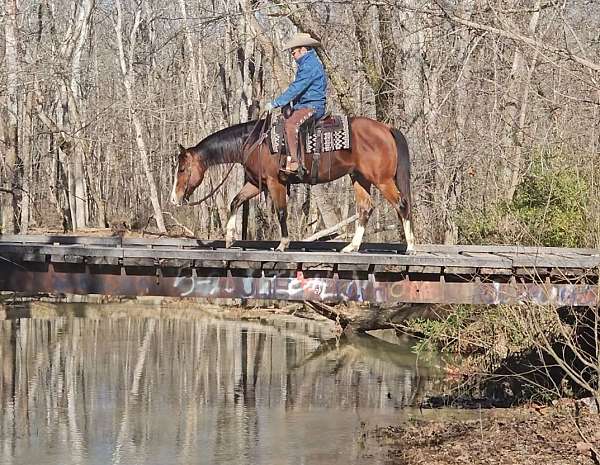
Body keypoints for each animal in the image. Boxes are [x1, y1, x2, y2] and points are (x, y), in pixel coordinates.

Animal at [166, 116, 414, 254]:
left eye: (182, 169)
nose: (174, 199)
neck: (254, 142)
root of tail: (386, 128)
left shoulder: (274, 183)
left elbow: (281, 212)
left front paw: (283, 244)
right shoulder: (256, 184)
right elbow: (235, 202)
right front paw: (229, 238)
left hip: (381, 180)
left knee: (401, 204)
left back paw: (410, 247)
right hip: (360, 178)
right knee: (365, 208)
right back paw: (351, 247)